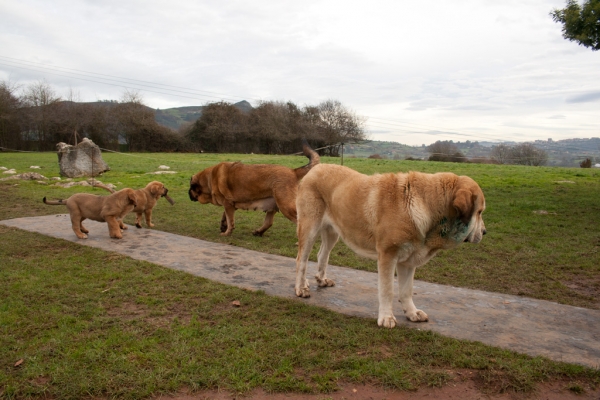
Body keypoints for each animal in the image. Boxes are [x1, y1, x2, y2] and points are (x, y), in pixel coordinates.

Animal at [189, 142, 318, 236]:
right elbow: (225, 216)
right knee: (268, 222)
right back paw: (258, 232)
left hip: (285, 206)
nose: (188, 193)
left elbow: (230, 220)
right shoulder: (230, 205)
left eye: (191, 188)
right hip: (274, 205)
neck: (208, 180)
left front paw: (227, 232)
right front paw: (223, 226)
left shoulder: (228, 203)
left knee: (301, 221)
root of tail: (293, 171)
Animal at [296, 163, 488, 328]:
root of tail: (317, 167)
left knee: (322, 254)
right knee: (301, 260)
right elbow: (388, 290)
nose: (485, 232)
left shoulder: (408, 262)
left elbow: (406, 290)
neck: (427, 206)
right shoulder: (388, 256)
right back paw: (301, 288)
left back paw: (320, 280)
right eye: (479, 212)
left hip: (332, 233)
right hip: (309, 228)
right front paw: (387, 317)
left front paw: (412, 313)